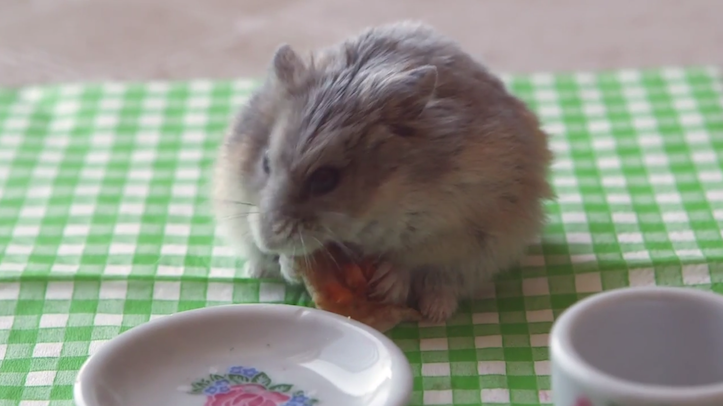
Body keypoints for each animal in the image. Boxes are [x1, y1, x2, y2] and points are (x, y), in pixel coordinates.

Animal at [212, 21, 553, 322]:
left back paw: (436, 313)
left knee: (447, 284)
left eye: (326, 179)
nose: (268, 242)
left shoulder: (465, 225)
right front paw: (288, 263)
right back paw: (255, 269)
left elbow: (416, 257)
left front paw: (389, 282)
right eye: (265, 161)